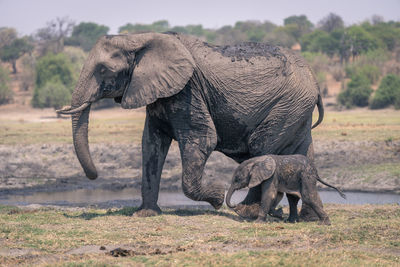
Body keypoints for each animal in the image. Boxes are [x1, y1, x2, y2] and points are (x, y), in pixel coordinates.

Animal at [57, 32, 324, 219]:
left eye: (103, 70)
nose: (94, 175)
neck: (139, 37)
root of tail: (315, 80)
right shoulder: (160, 92)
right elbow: (151, 145)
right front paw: (145, 214)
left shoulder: (187, 90)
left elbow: (203, 138)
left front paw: (216, 197)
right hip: (296, 110)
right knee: (303, 153)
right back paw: (307, 218)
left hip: (287, 106)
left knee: (262, 148)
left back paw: (246, 212)